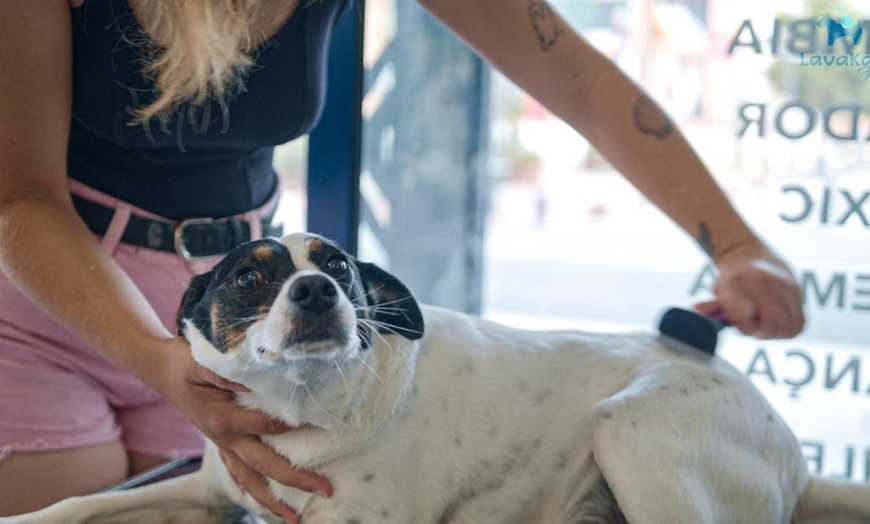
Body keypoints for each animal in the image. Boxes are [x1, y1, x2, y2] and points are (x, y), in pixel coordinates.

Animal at [6, 234, 870, 524]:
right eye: (249, 277)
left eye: (341, 268)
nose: (315, 292)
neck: (309, 411)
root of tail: (797, 457)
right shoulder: (210, 488)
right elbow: (82, 503)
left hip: (627, 428)